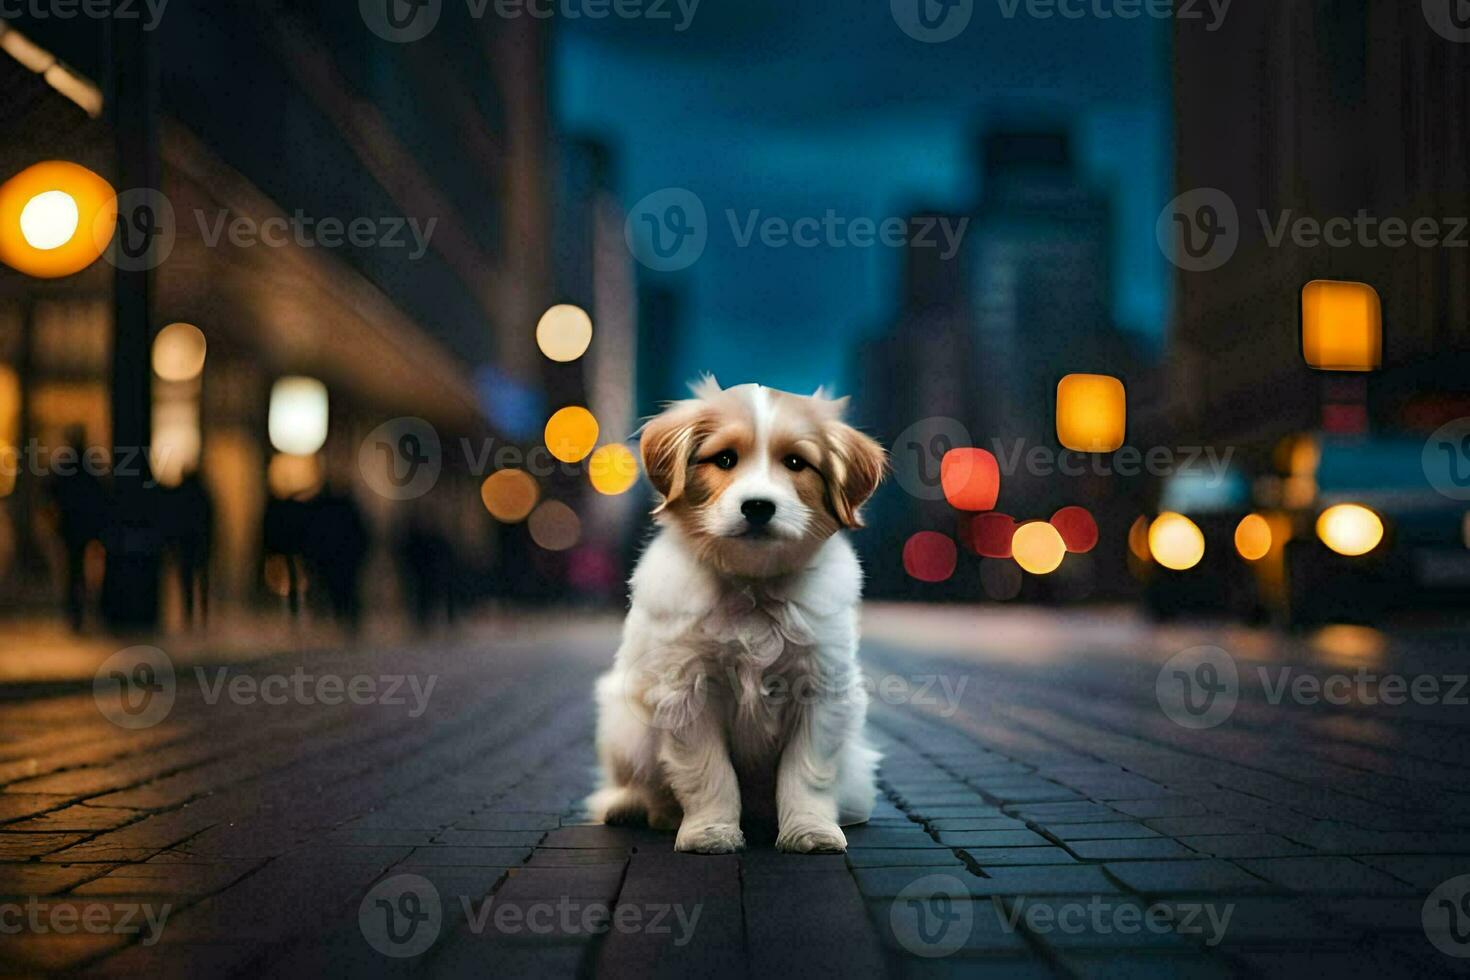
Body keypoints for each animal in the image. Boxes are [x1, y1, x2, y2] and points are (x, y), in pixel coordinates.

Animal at [585, 379, 882, 852]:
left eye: (795, 463)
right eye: (725, 459)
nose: (758, 506)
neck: (752, 585)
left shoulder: (822, 690)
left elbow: (807, 772)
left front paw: (810, 831)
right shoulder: (686, 689)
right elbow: (708, 771)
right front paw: (710, 833)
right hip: (623, 725)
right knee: (637, 784)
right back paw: (635, 808)